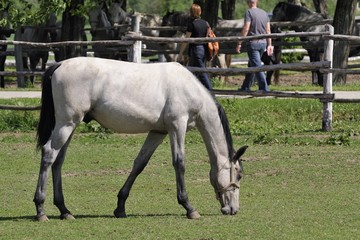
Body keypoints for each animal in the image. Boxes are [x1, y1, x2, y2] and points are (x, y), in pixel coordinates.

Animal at [33, 56, 248, 221]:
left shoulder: (158, 132)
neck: (189, 89)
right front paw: (189, 207)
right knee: (49, 154)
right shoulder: (177, 126)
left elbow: (140, 164)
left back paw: (64, 211)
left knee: (58, 161)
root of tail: (59, 64)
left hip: (70, 125)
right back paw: (41, 210)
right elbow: (179, 163)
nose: (233, 209)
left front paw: (120, 207)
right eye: (238, 175)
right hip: (66, 123)